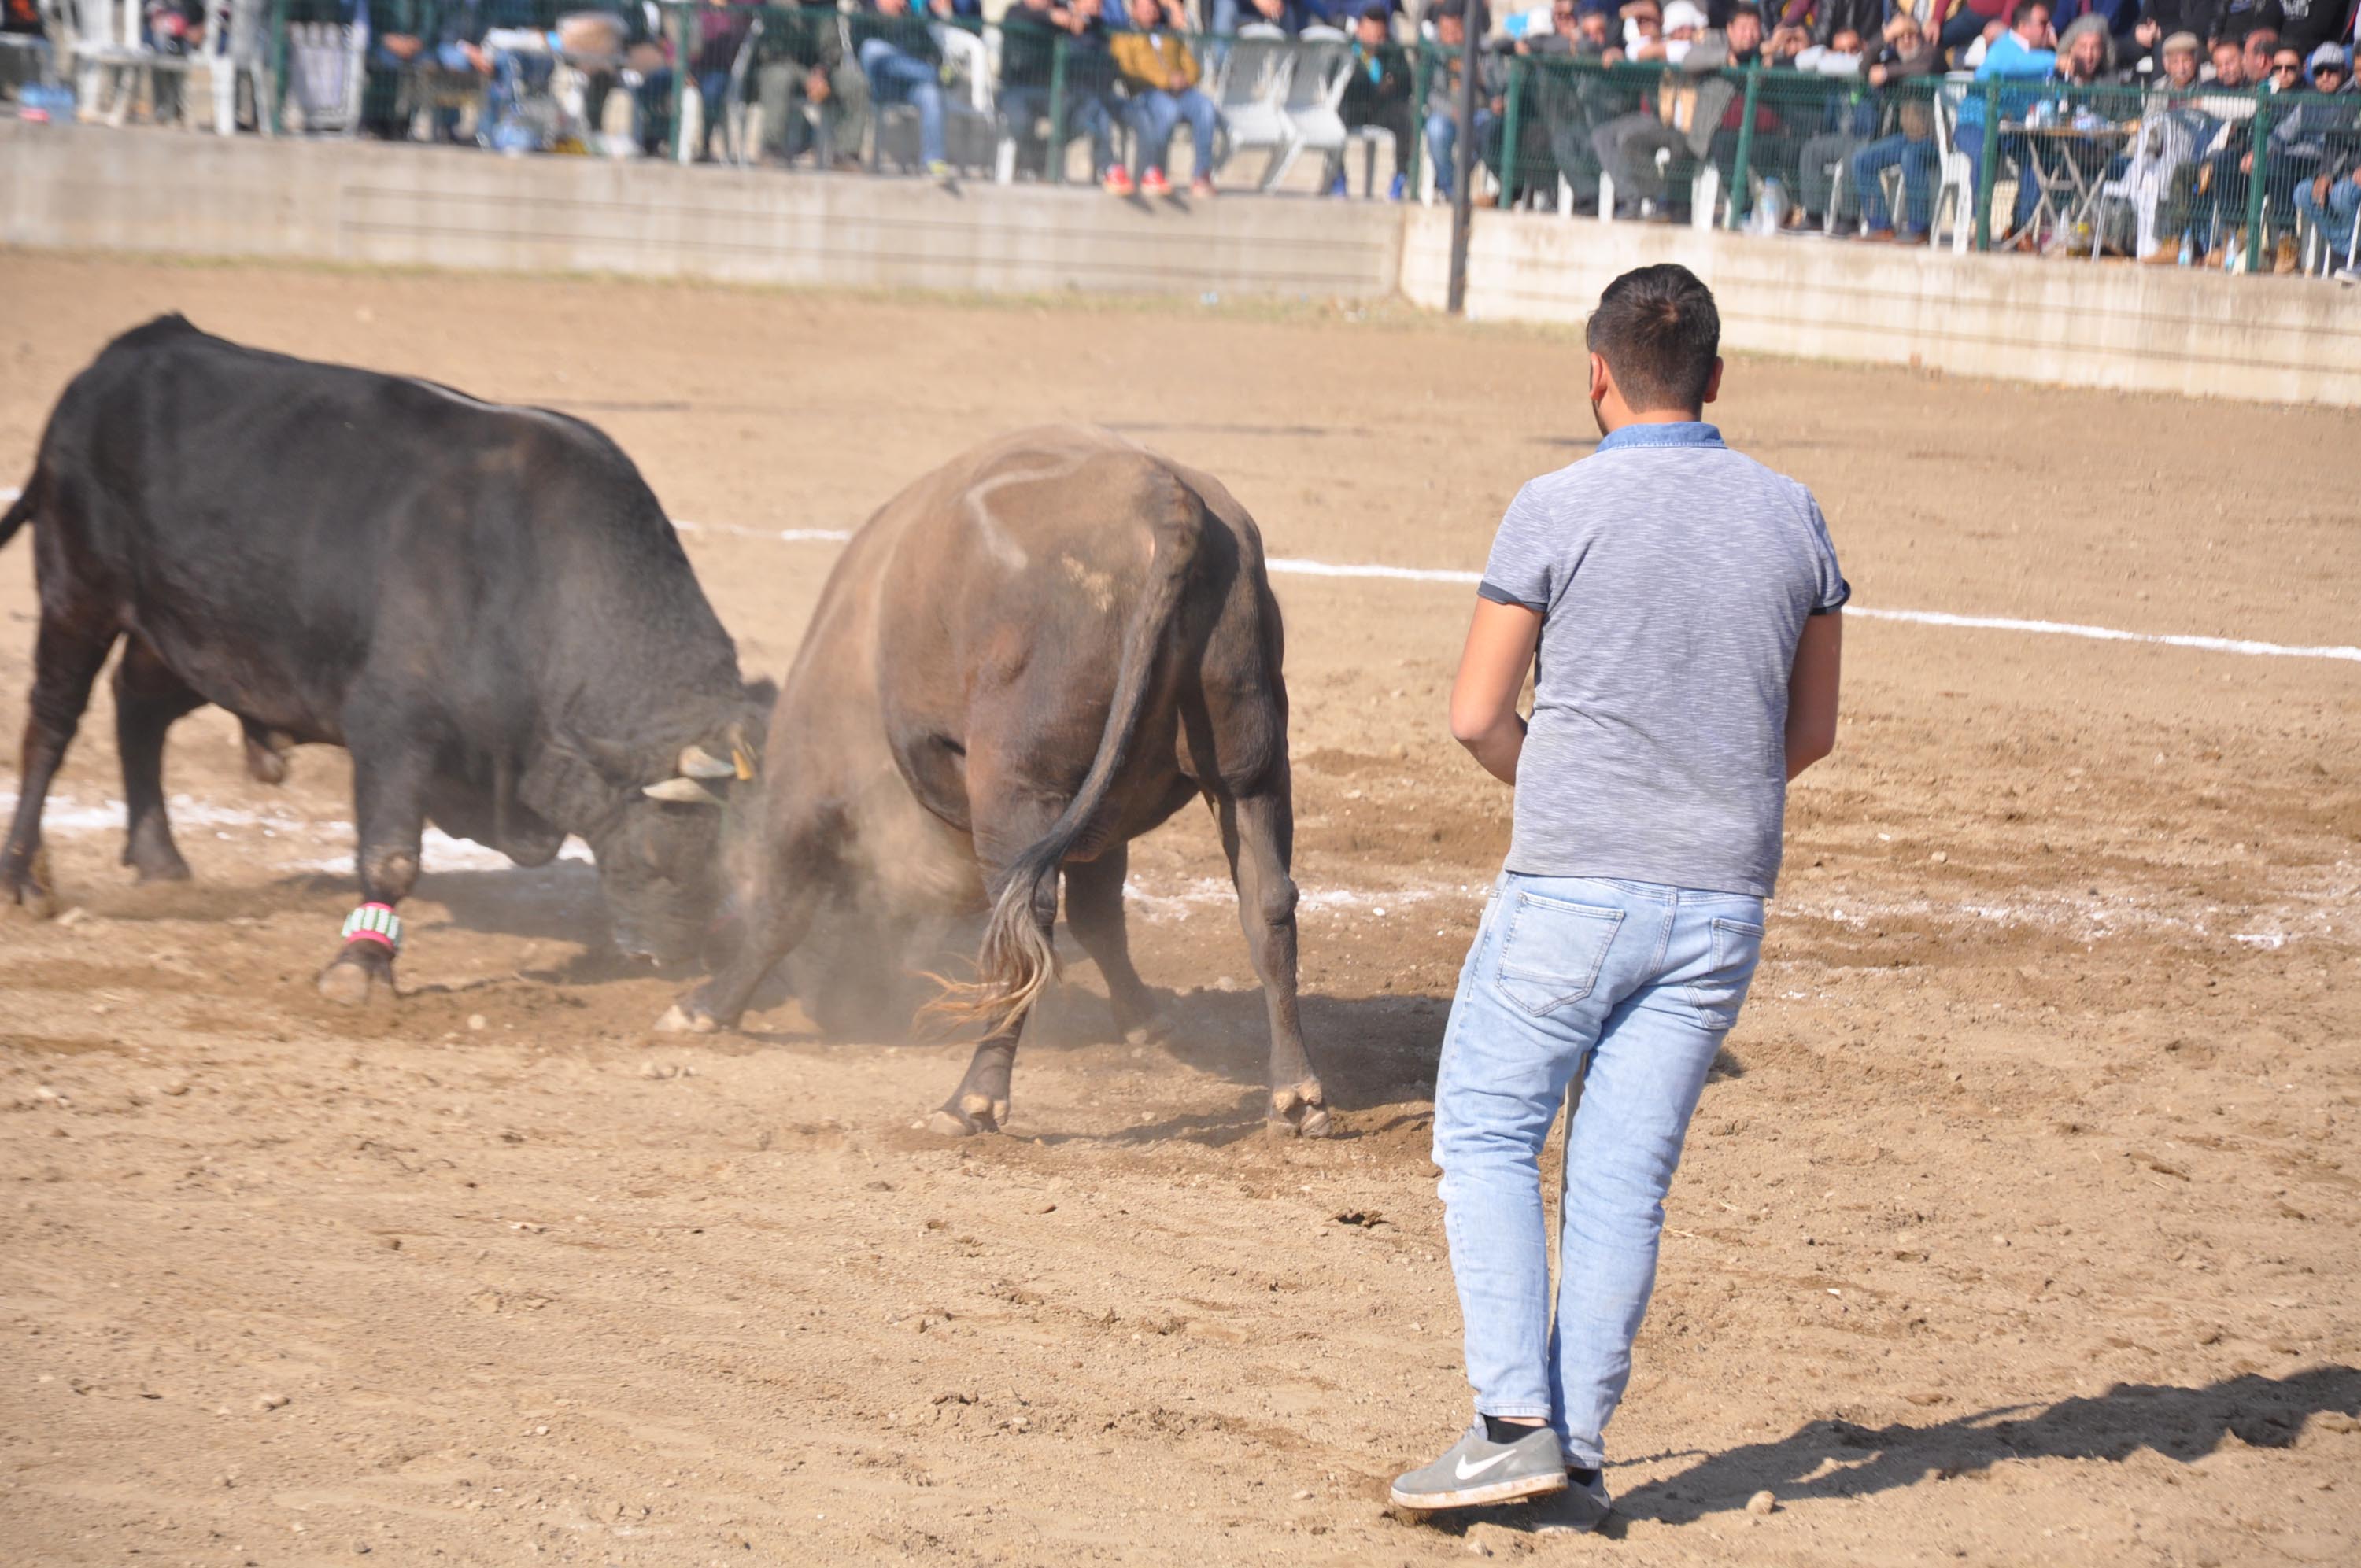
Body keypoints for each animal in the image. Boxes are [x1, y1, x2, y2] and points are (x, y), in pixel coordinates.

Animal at [661, 430, 1332, 1138]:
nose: (840, 998)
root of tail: (1162, 496)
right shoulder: (1103, 824)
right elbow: (1102, 920)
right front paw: (1146, 1021)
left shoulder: (809, 783)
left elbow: (779, 909)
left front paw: (707, 1005)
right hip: (1250, 776)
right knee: (1268, 904)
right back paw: (1296, 1094)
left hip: (1017, 790)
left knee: (1023, 927)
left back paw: (974, 1098)